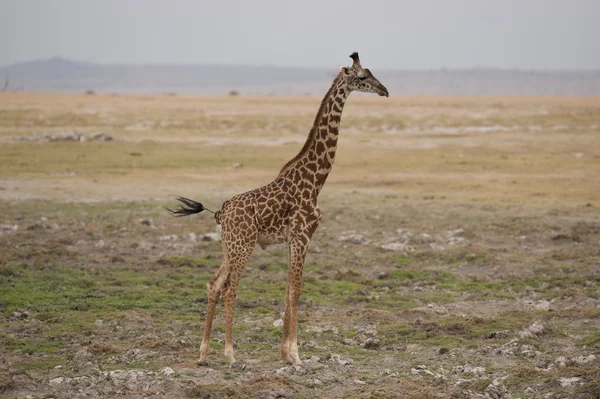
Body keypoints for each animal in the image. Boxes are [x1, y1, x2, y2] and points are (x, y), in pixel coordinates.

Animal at [170, 53, 390, 368]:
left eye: (371, 73)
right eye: (362, 78)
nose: (384, 90)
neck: (315, 180)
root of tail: (220, 213)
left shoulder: (292, 240)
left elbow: (287, 292)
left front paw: (285, 353)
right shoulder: (302, 237)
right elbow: (296, 292)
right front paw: (297, 356)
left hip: (228, 247)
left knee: (213, 285)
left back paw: (202, 354)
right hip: (243, 245)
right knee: (230, 289)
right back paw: (230, 354)